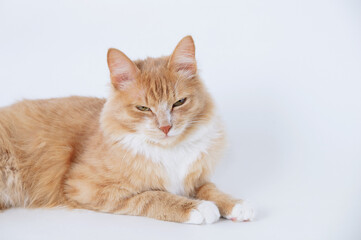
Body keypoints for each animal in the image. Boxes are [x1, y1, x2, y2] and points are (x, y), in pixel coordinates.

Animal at [0, 36, 253, 224]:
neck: (169, 151)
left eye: (179, 102)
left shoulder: (197, 179)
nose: (165, 127)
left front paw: (236, 204)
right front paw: (197, 208)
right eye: (143, 108)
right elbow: (153, 196)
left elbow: (211, 189)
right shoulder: (84, 187)